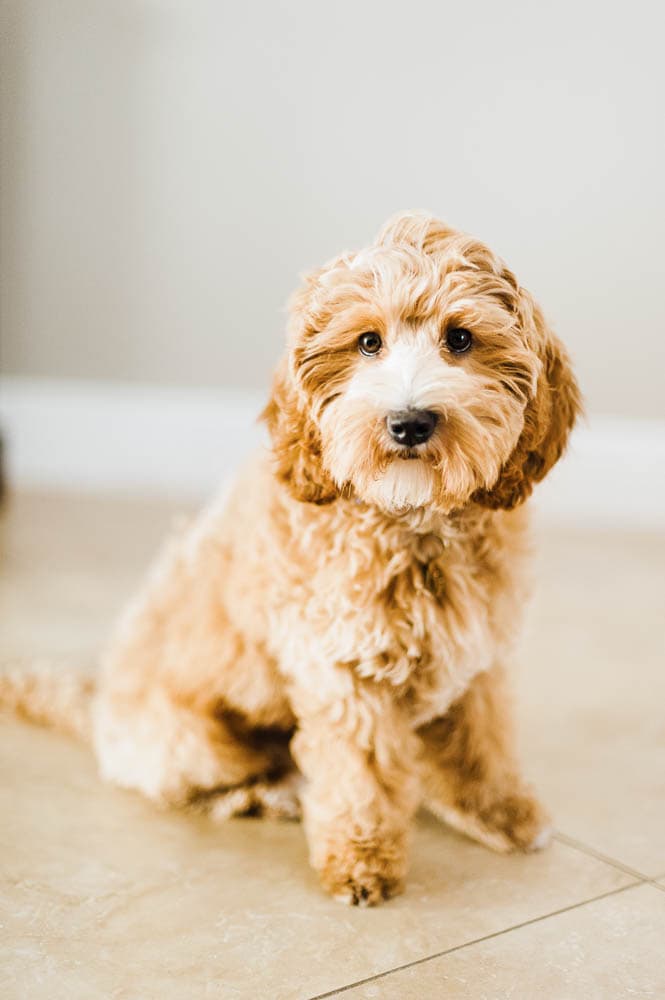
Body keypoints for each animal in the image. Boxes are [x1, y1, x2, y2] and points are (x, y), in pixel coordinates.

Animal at [0, 213, 580, 908]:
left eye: (460, 339)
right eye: (367, 343)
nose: (410, 422)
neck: (413, 520)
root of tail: (96, 707)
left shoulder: (479, 656)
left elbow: (481, 739)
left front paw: (498, 812)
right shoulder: (341, 670)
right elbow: (361, 771)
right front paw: (362, 858)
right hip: (193, 743)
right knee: (196, 790)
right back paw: (270, 794)